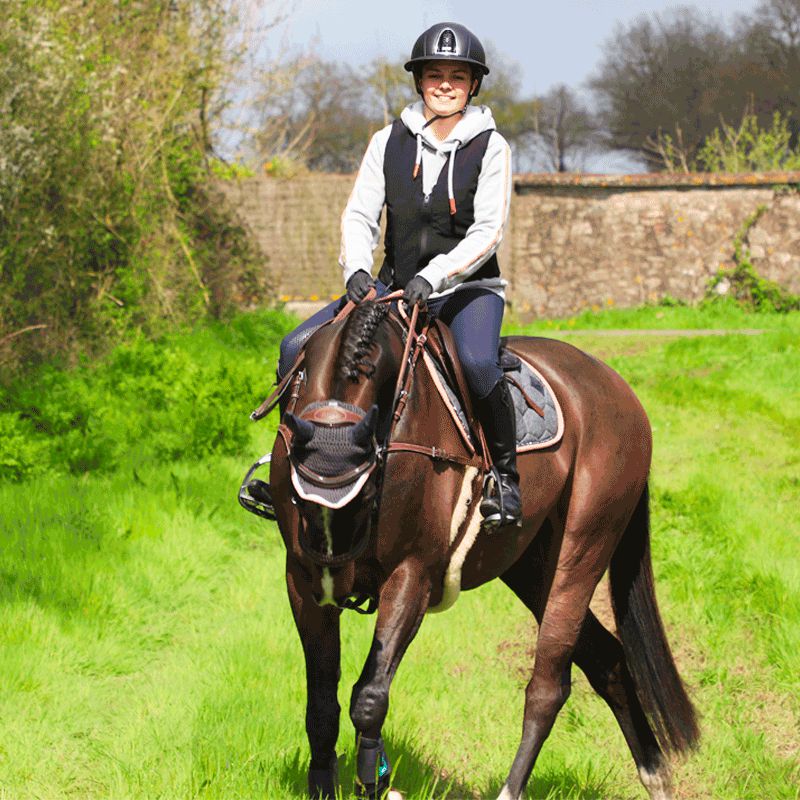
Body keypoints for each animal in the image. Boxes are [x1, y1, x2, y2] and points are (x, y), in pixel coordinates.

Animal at [260, 296, 696, 800]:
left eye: (368, 490)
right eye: (296, 496)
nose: (334, 567)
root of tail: (619, 390)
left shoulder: (411, 575)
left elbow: (369, 697)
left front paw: (377, 781)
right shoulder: (301, 579)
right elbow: (321, 706)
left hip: (582, 552)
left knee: (549, 686)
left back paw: (512, 787)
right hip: (531, 566)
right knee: (605, 658)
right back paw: (655, 774)